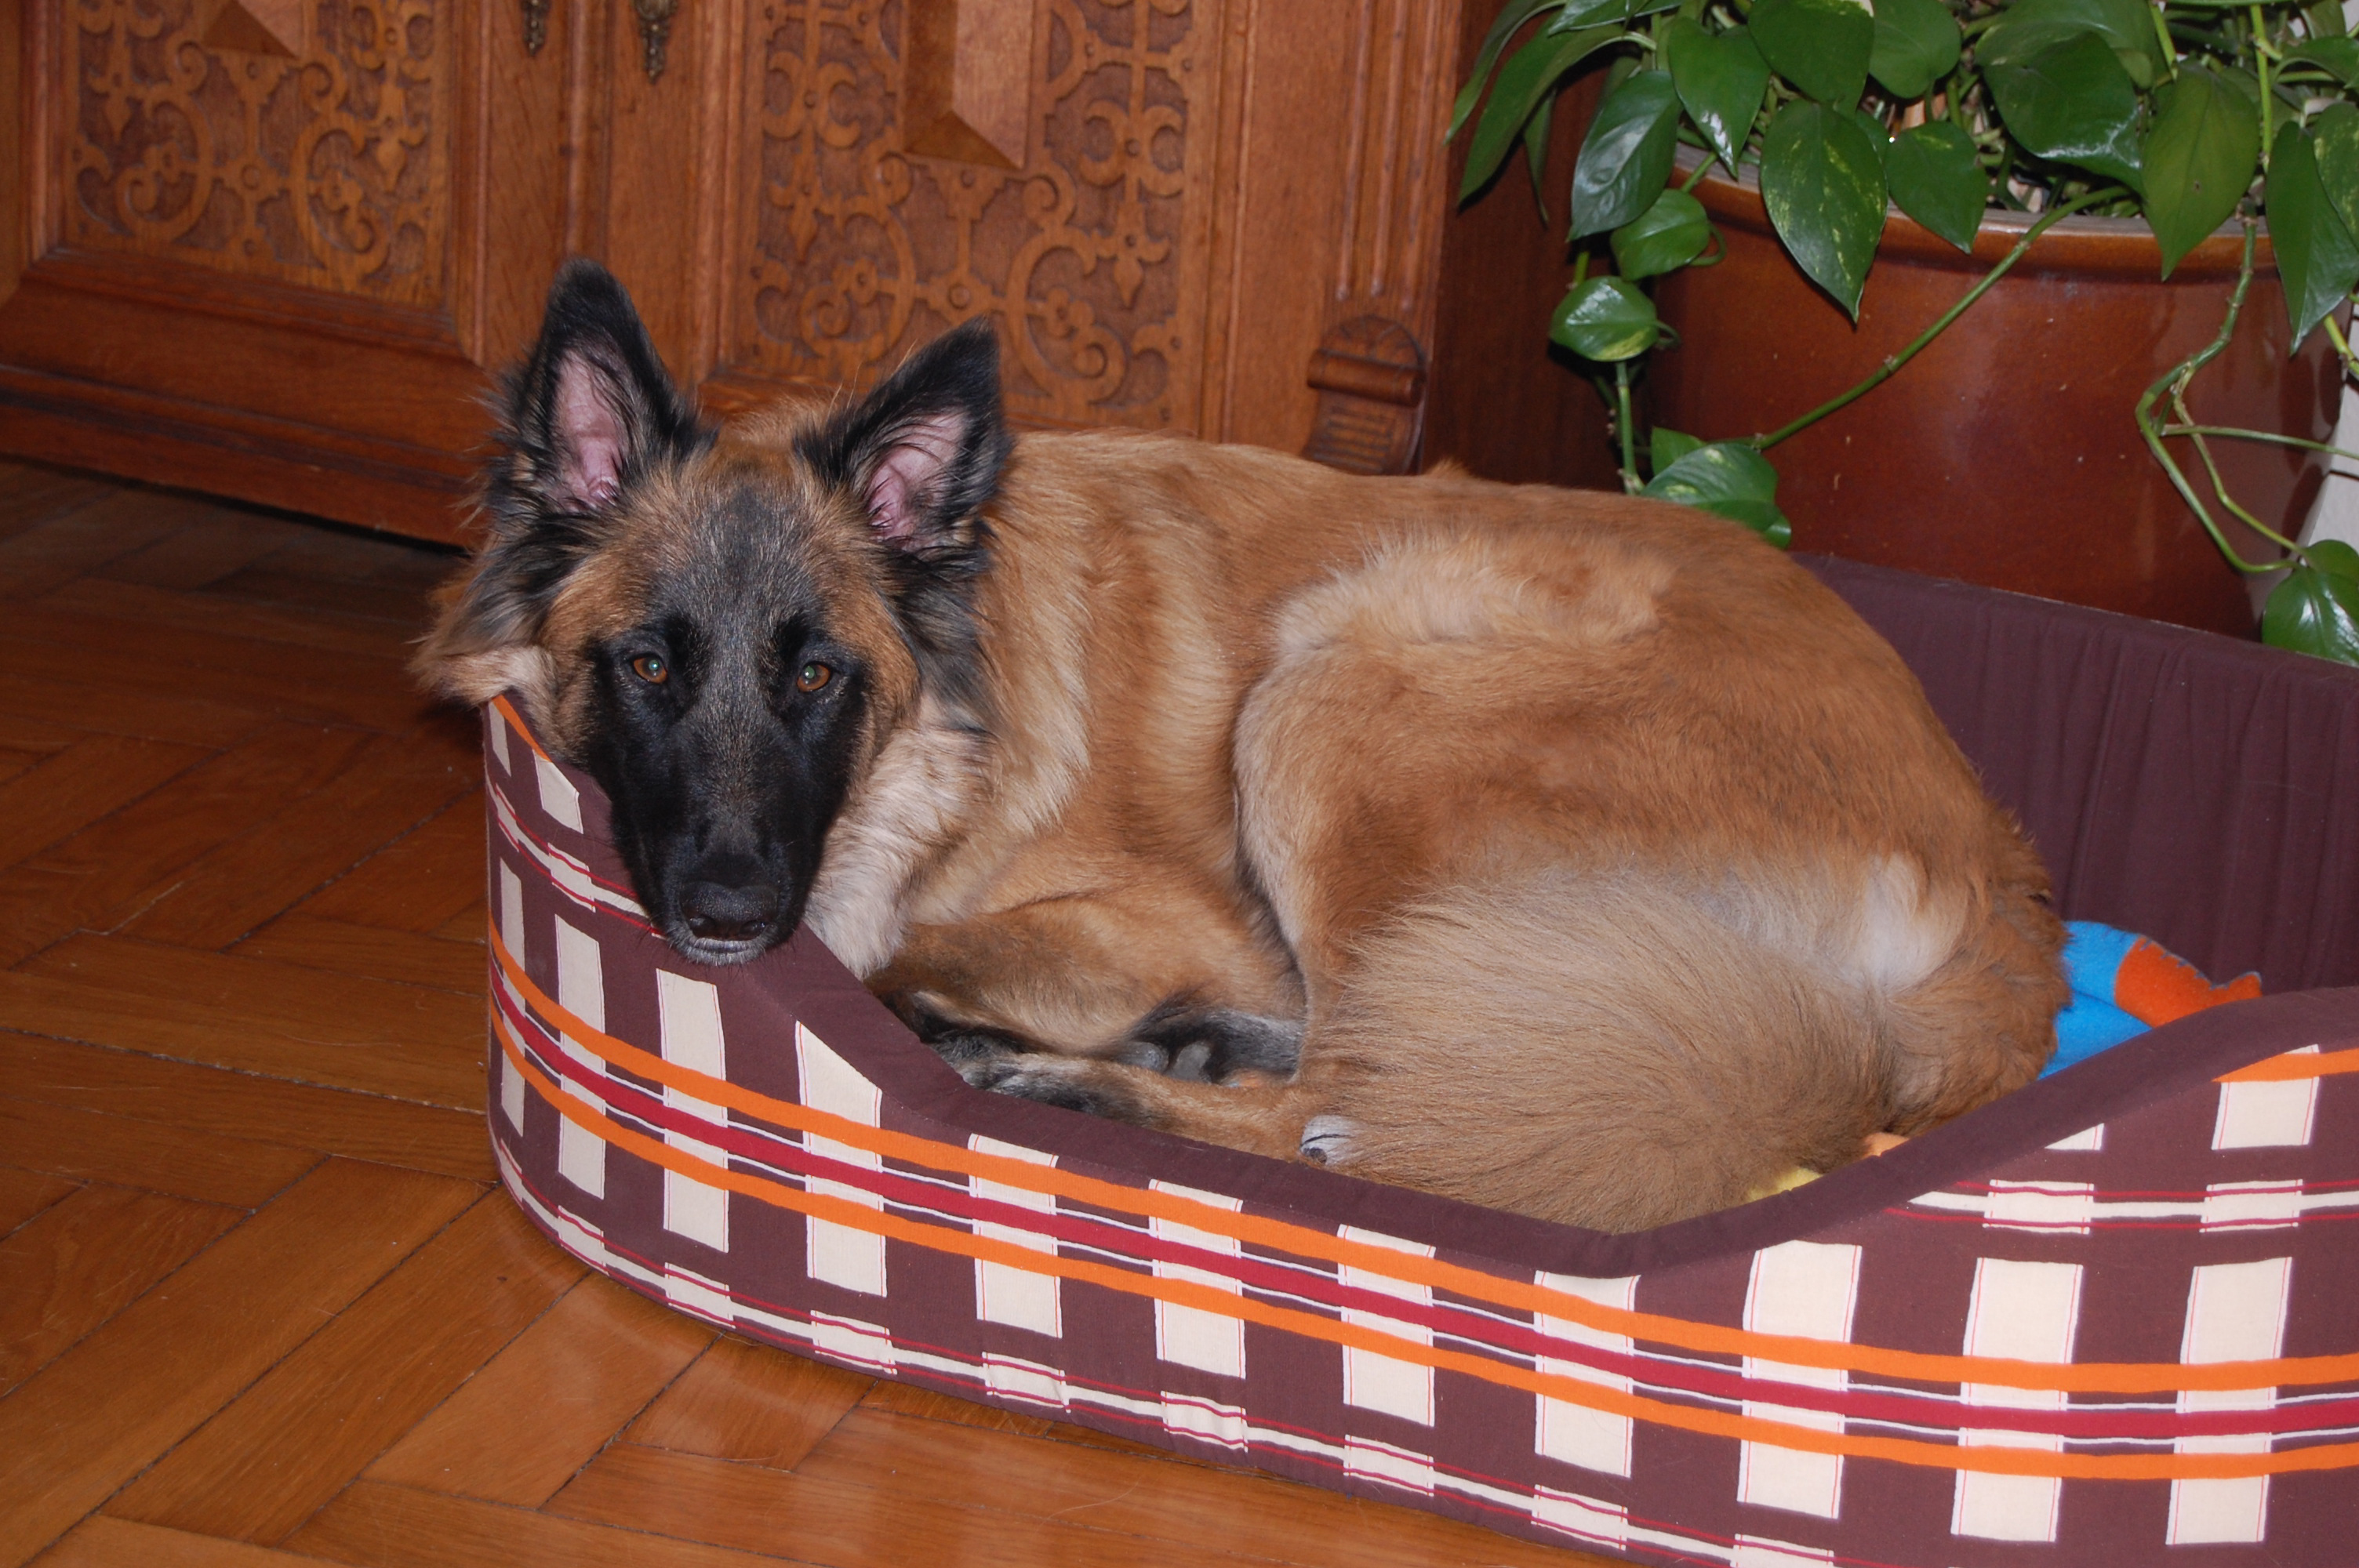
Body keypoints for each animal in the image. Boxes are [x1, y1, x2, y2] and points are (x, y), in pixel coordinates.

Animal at [421, 261, 2067, 1233]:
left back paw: (1089, 1082)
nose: (725, 913)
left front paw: (981, 1021)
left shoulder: (1159, 908)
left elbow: (901, 953)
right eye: (646, 665)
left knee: (1354, 1102)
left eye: (817, 675)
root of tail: (1996, 874)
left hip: (1342, 690)